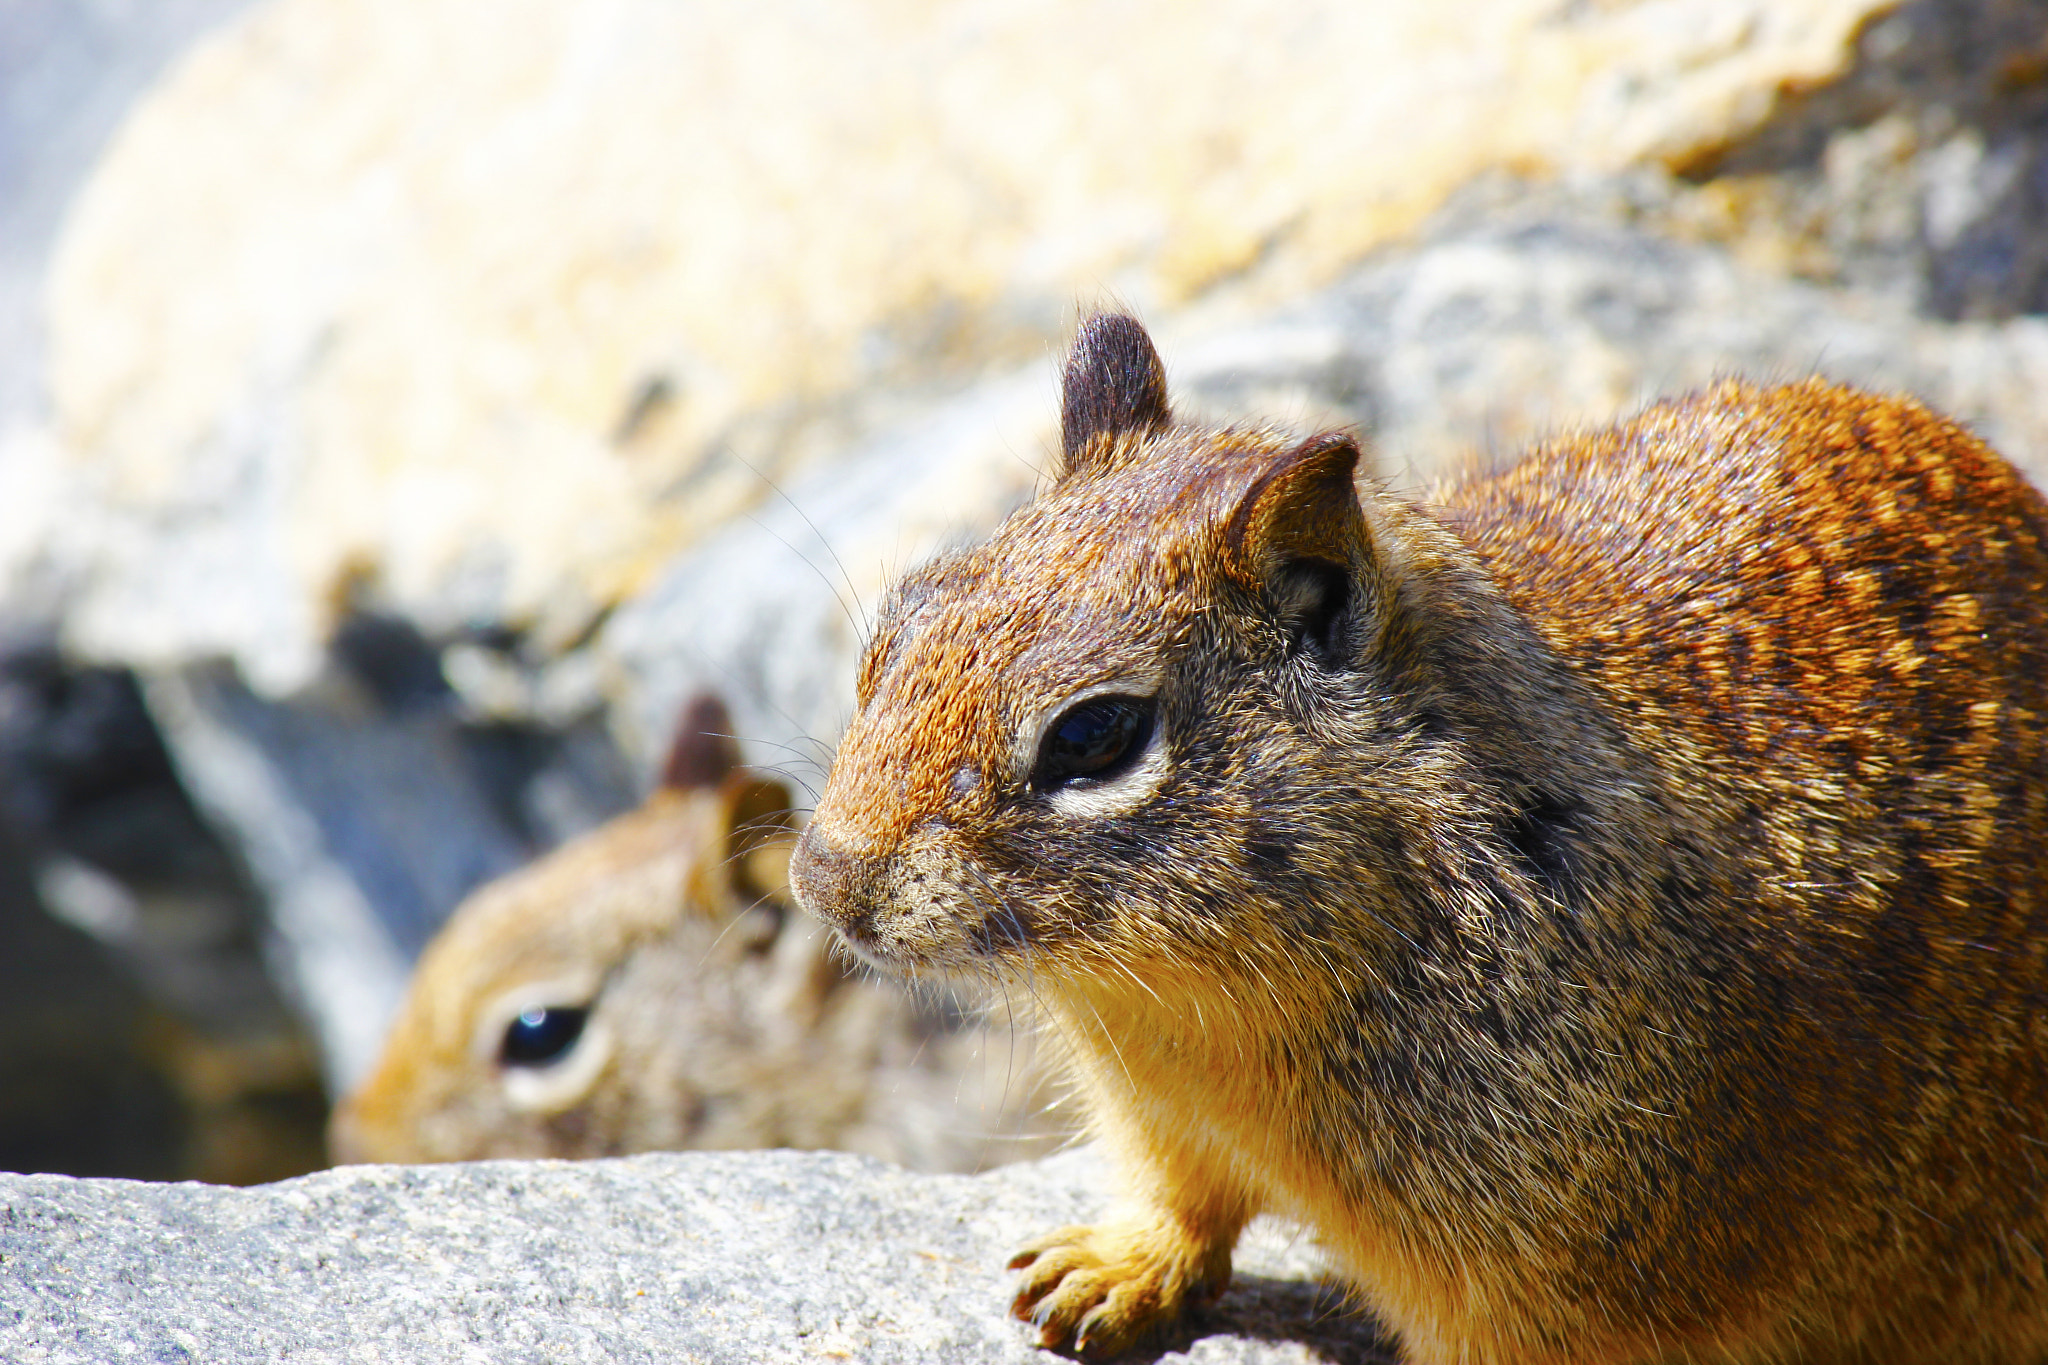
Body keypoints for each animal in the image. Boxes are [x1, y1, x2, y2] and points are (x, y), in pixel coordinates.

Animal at [787, 313, 2048, 1363]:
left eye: (1095, 736)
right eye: (895, 628)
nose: (824, 879)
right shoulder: (1154, 1115)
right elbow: (1176, 1205)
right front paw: (1103, 1275)